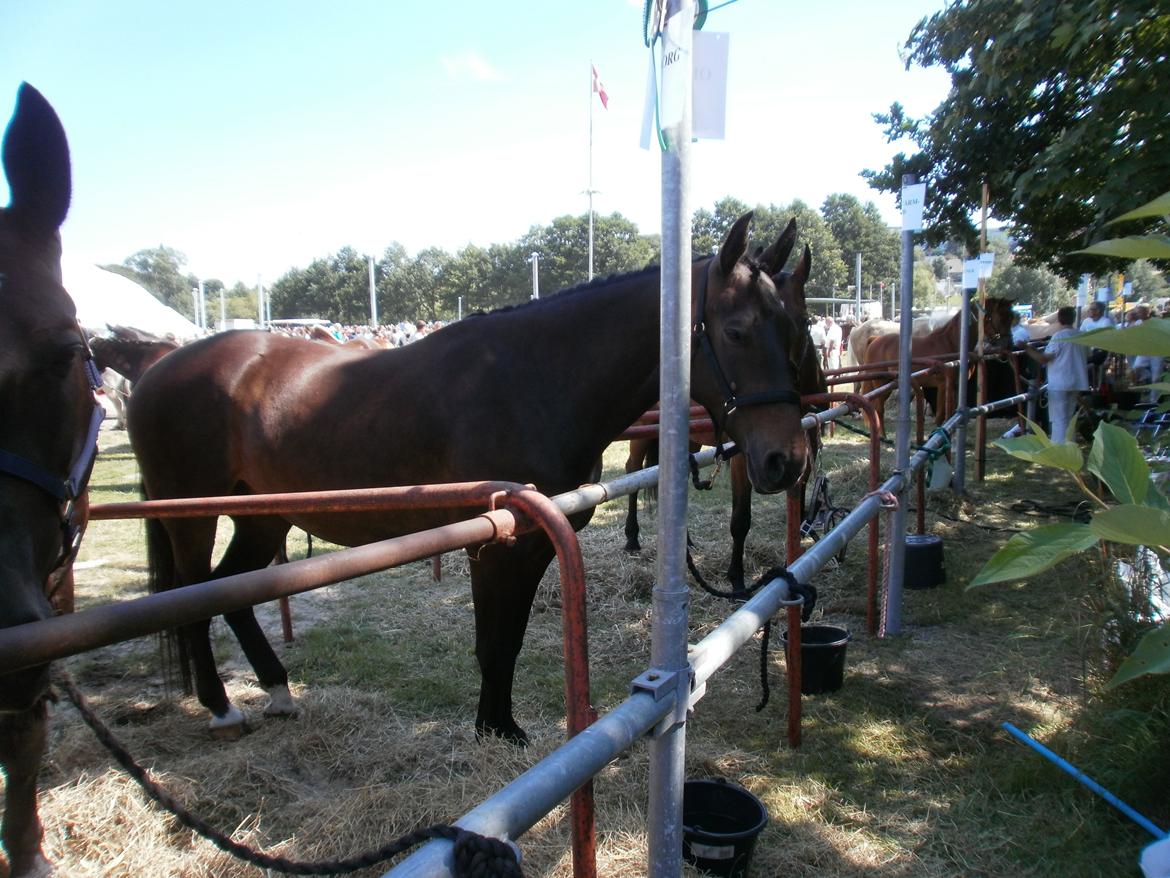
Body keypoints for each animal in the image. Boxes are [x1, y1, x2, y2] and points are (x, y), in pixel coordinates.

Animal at [617, 224, 828, 592]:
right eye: (737, 333)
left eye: (801, 323)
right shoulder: (744, 457)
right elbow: (740, 519)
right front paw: (738, 578)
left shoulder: (803, 449)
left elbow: (799, 494)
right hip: (643, 437)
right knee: (633, 470)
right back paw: (632, 536)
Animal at [861, 297, 1015, 430]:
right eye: (1000, 317)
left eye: (1011, 317)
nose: (1008, 346)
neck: (950, 343)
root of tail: (874, 340)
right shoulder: (943, 385)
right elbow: (941, 416)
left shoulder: (954, 387)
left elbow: (951, 414)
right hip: (880, 384)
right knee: (879, 409)